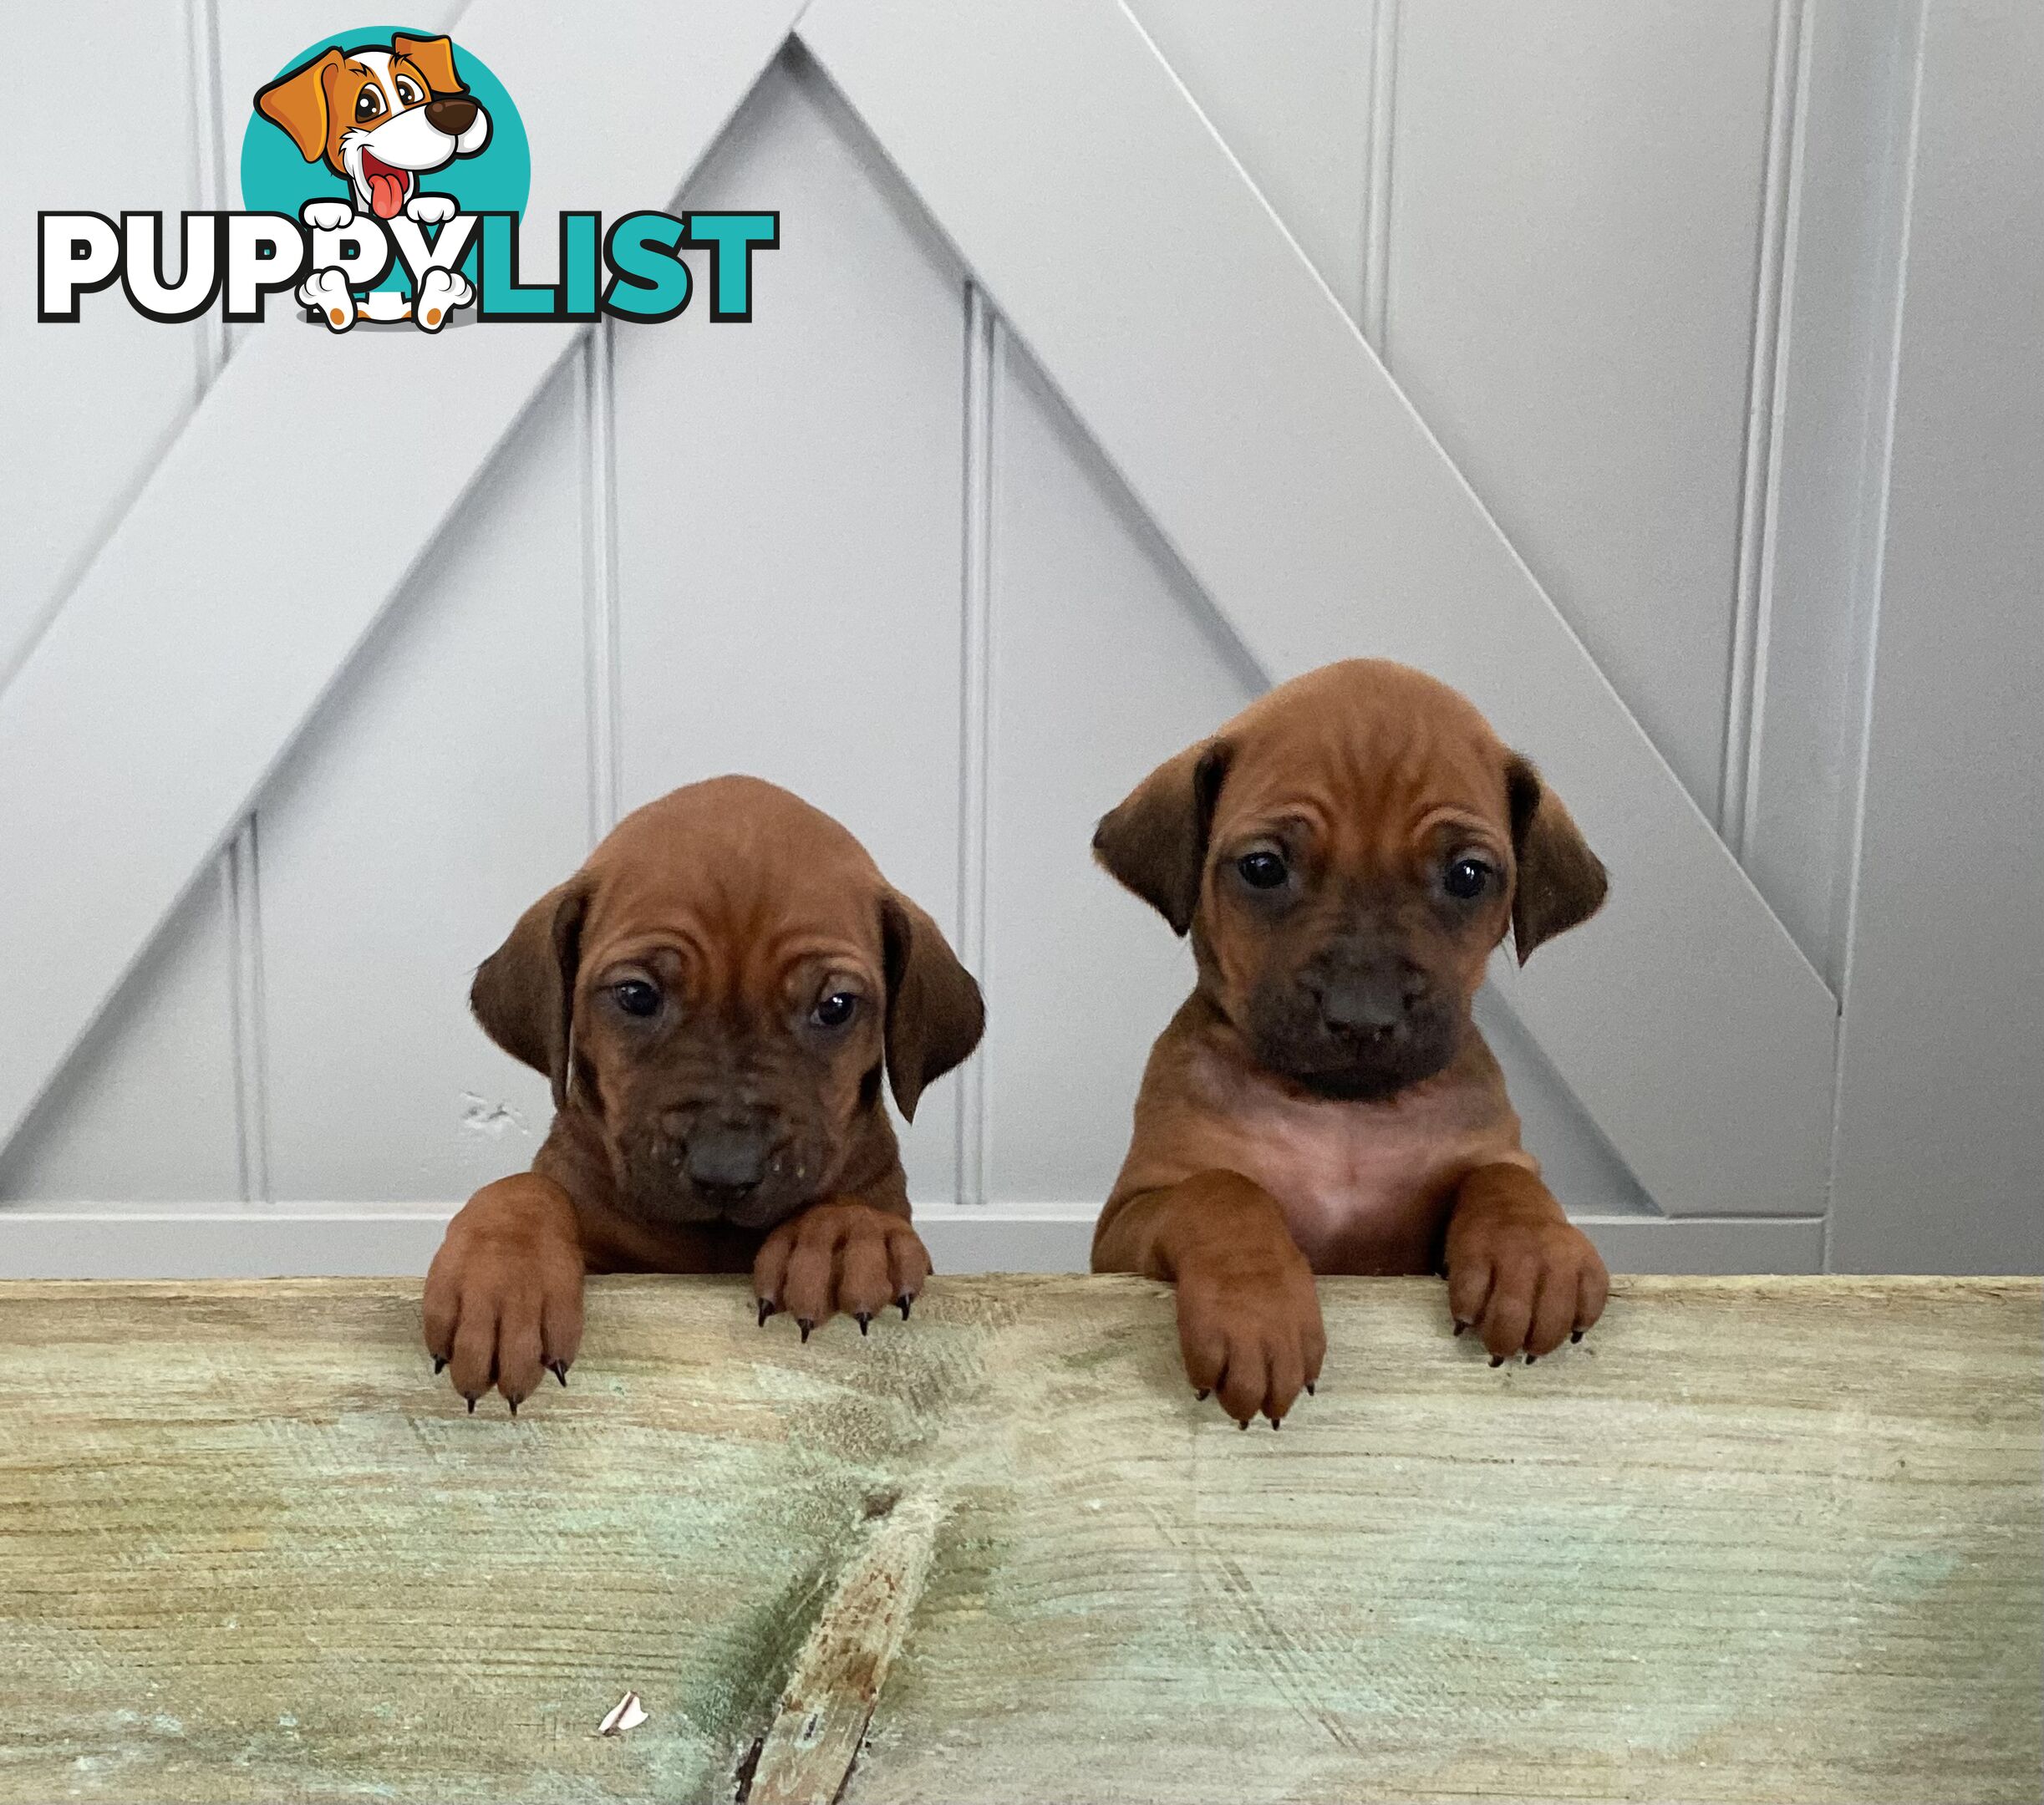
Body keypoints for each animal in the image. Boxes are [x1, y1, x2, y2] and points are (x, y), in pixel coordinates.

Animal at [420, 776, 981, 1414]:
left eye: (836, 1006)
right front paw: (500, 1277)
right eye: (637, 995)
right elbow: (527, 1188)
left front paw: (845, 1231)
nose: (726, 1172)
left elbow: (861, 1206)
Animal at [1096, 658, 1602, 1422]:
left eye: (1468, 875)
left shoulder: (1459, 1195)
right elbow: (1219, 1190)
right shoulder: (1125, 1224)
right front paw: (1255, 1311)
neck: (1346, 1118)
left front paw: (1533, 1255)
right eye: (1263, 868)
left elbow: (1503, 1175)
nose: (1362, 1017)